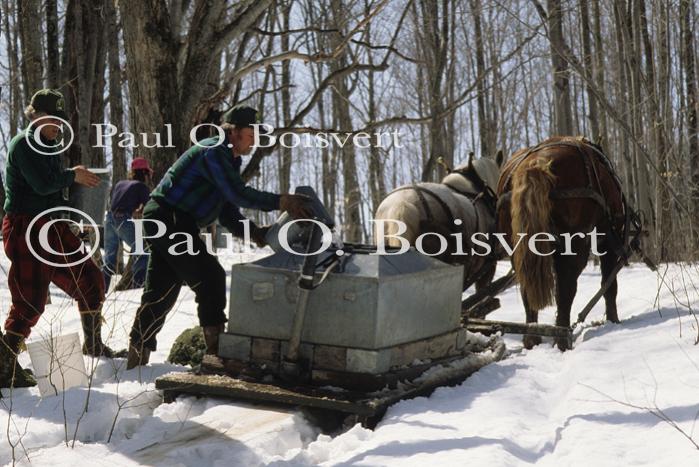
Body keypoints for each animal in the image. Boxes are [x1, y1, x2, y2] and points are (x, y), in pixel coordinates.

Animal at [498, 137, 628, 350]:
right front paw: (613, 321)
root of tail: (534, 164)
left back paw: (532, 338)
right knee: (566, 288)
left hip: (515, 248)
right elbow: (609, 284)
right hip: (574, 243)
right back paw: (562, 338)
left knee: (527, 287)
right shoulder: (607, 238)